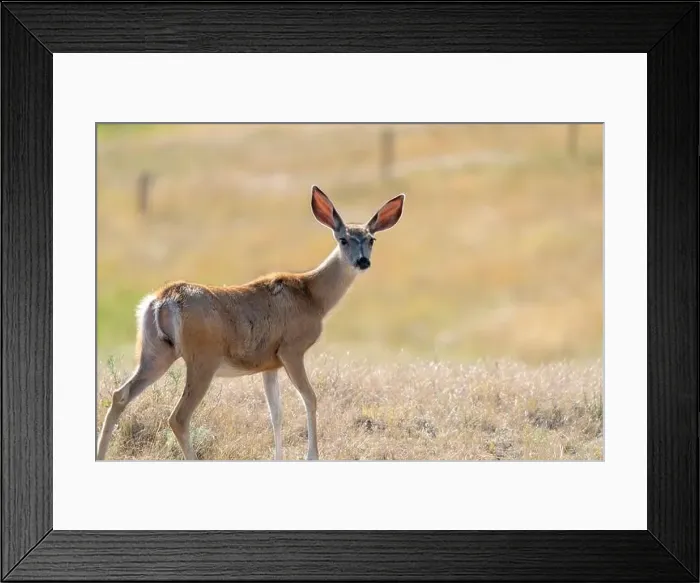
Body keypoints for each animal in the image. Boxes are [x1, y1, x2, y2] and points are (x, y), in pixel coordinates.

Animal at [96, 185, 405, 461]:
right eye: (342, 239)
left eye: (371, 240)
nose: (362, 261)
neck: (312, 296)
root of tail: (163, 299)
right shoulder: (291, 350)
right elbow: (310, 398)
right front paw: (312, 456)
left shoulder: (269, 364)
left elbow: (276, 413)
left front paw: (279, 458)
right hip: (202, 359)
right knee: (178, 417)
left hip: (156, 353)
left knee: (120, 394)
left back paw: (101, 454)